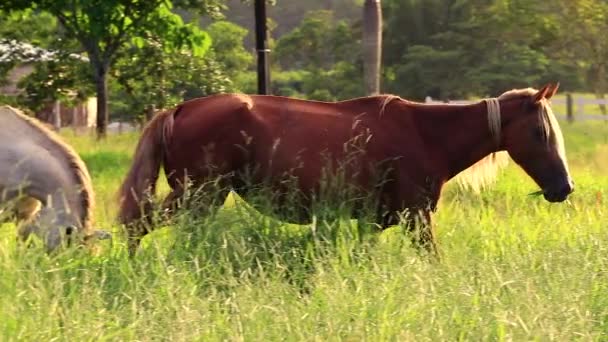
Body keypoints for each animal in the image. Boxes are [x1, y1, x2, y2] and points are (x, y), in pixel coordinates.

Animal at [119, 82, 576, 254]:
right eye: (540, 132)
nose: (564, 187)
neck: (426, 133)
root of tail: (179, 109)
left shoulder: (372, 221)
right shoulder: (417, 217)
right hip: (198, 197)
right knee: (140, 226)